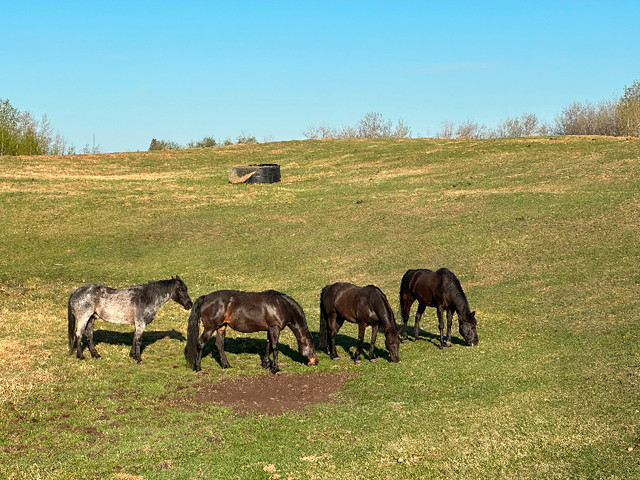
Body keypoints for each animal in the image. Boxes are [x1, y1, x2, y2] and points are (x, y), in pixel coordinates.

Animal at [185, 288, 318, 376]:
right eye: (311, 346)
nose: (315, 362)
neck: (282, 306)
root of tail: (205, 297)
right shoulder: (274, 328)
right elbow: (275, 347)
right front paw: (275, 368)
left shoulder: (270, 329)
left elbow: (268, 345)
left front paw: (266, 364)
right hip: (210, 328)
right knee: (200, 343)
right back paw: (198, 367)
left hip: (221, 327)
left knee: (219, 345)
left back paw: (226, 365)